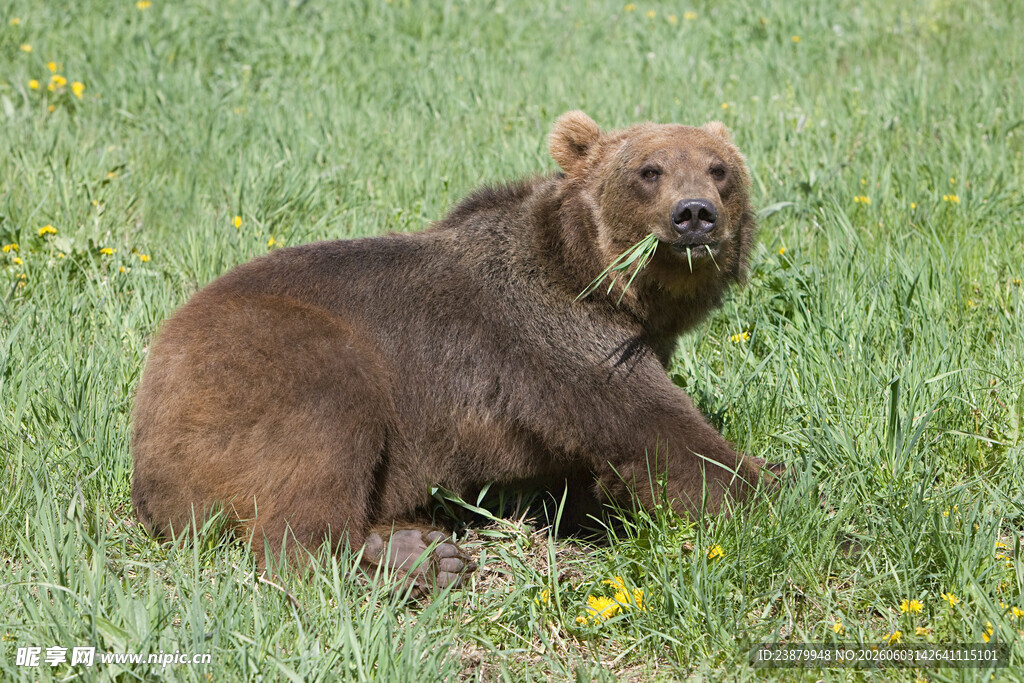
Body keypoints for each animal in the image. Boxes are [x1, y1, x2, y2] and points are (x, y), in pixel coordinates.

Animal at [130, 111, 777, 591]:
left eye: (719, 169)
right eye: (650, 170)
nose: (695, 214)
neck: (604, 284)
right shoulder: (561, 340)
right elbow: (657, 431)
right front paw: (775, 488)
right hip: (268, 361)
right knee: (318, 448)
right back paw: (409, 563)